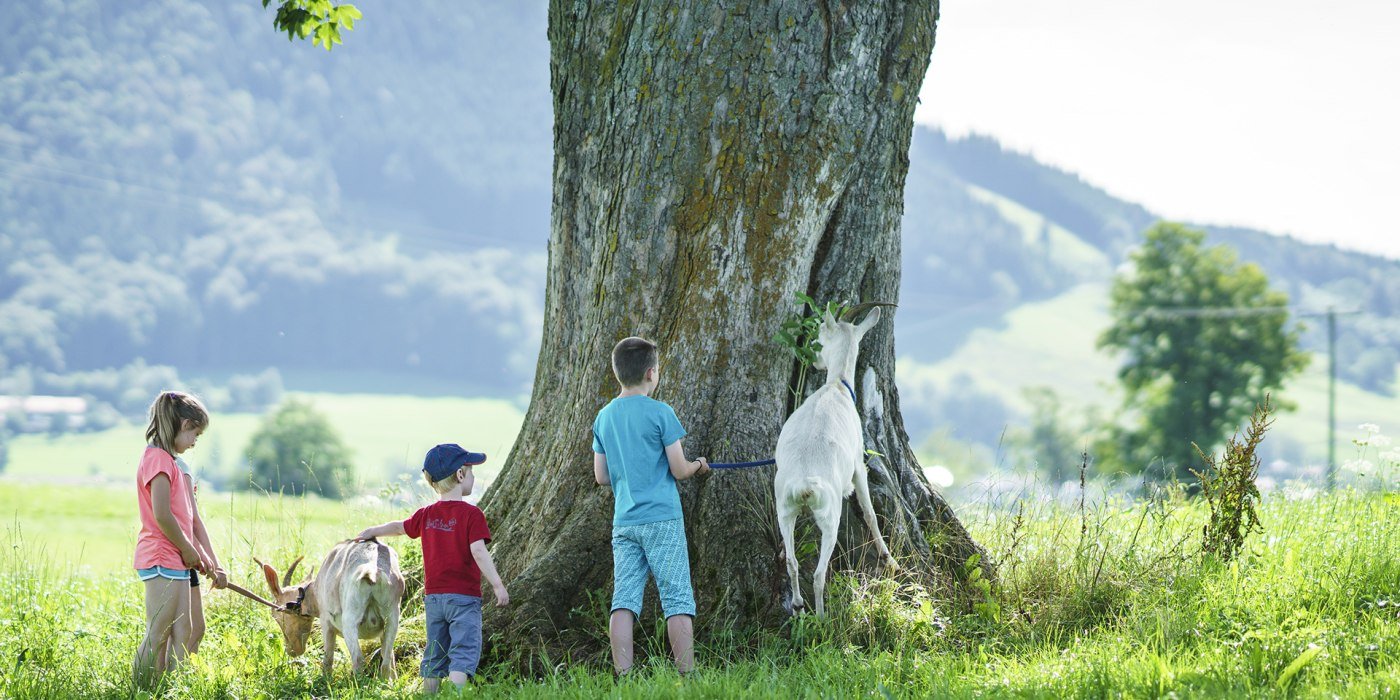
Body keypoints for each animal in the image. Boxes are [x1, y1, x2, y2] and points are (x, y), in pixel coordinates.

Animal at [257, 534, 406, 677]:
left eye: (276, 614)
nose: (292, 650)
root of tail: (373, 571)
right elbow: (390, 659)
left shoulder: (326, 622)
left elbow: (328, 658)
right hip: (392, 617)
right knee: (386, 661)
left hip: (350, 621)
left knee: (358, 659)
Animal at [772, 303, 901, 616]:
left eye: (819, 335)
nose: (815, 360)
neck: (837, 386)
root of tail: (805, 485)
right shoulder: (858, 466)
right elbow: (869, 512)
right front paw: (889, 560)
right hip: (830, 516)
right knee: (819, 574)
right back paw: (820, 617)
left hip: (785, 509)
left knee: (792, 562)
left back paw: (798, 605)